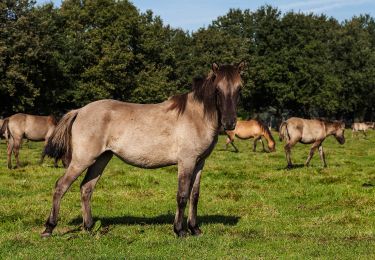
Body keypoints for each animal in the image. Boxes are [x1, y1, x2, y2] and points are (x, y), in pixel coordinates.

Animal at [41, 62, 247, 238]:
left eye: (239, 88)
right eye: (217, 89)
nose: (230, 123)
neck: (196, 116)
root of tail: (80, 111)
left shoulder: (199, 163)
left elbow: (194, 195)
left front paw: (195, 229)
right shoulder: (186, 162)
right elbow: (182, 195)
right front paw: (180, 230)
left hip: (101, 159)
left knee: (86, 188)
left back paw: (89, 227)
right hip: (82, 160)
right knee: (61, 186)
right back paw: (49, 228)